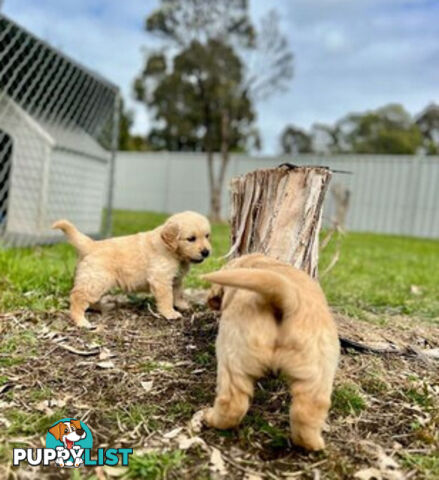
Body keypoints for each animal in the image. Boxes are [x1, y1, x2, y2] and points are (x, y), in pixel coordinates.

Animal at [53, 212, 211, 328]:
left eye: (207, 236)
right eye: (191, 238)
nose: (206, 252)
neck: (172, 251)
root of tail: (91, 245)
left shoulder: (176, 279)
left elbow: (178, 293)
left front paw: (181, 305)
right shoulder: (161, 279)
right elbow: (167, 298)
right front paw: (169, 313)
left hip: (96, 280)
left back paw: (101, 308)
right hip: (96, 280)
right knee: (77, 297)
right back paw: (81, 321)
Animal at [203, 253, 340, 452]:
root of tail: (289, 299)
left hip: (231, 353)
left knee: (232, 404)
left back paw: (211, 418)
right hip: (319, 370)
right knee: (308, 412)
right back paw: (313, 444)